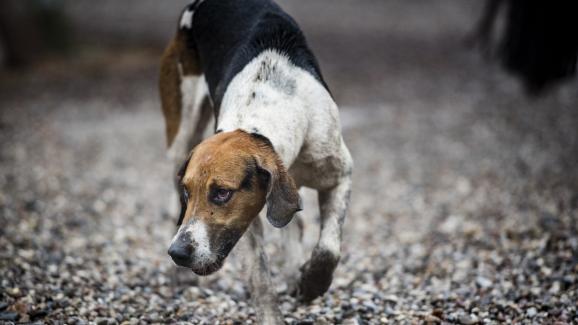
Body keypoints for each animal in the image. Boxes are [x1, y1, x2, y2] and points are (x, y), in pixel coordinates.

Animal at [158, 0, 352, 320]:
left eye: (221, 193)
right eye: (188, 192)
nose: (178, 253)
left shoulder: (339, 175)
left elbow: (328, 249)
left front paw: (312, 284)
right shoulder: (244, 218)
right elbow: (260, 277)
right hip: (180, 134)